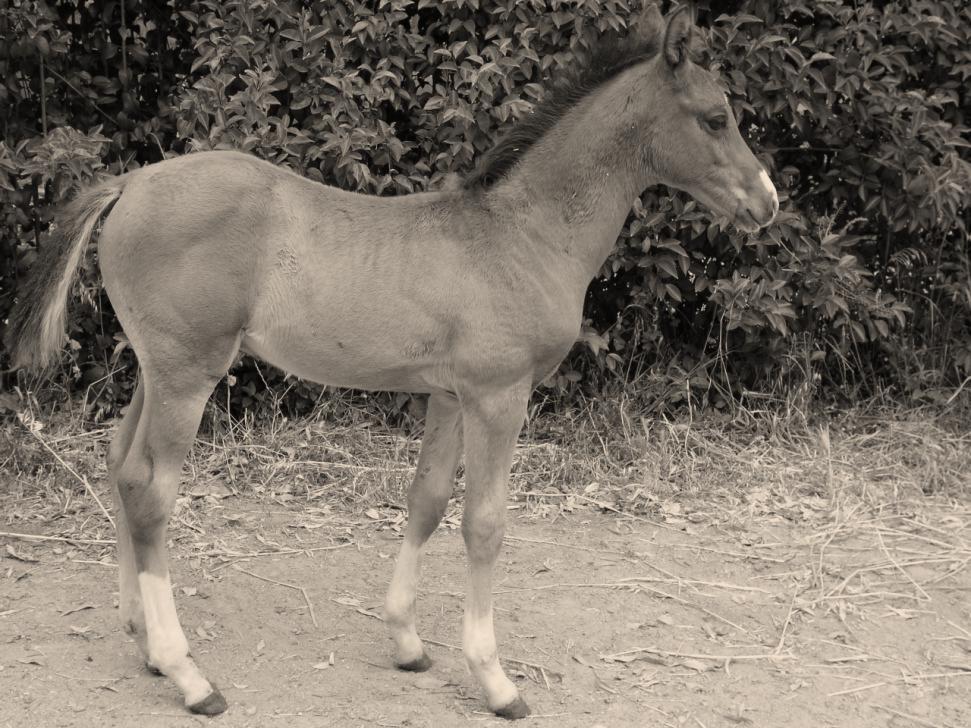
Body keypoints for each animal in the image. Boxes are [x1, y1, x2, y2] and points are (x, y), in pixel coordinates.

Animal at [7, 4, 780, 724]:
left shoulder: (450, 394)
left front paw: (407, 643)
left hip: (156, 367)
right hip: (188, 374)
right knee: (151, 491)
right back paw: (189, 675)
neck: (524, 235)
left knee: (119, 463)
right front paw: (495, 681)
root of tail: (130, 184)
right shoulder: (499, 395)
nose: (766, 202)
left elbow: (427, 500)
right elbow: (484, 524)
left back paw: (142, 641)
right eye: (715, 118)